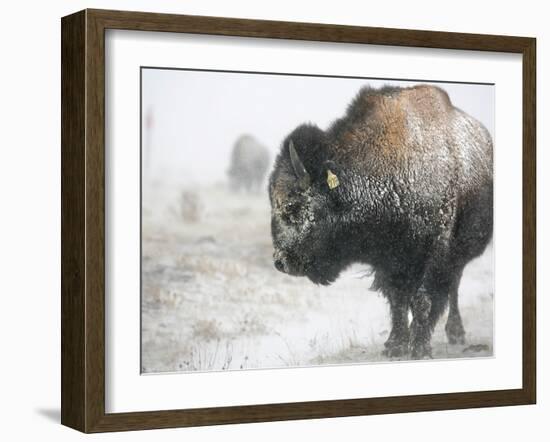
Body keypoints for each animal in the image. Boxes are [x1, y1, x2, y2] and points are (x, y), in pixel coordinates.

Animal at [270, 83, 494, 360]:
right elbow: (398, 300)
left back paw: (456, 333)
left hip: (460, 253)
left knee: (453, 287)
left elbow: (423, 299)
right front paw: (395, 345)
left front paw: (420, 349)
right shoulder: (389, 259)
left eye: (293, 207)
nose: (281, 262)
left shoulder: (435, 250)